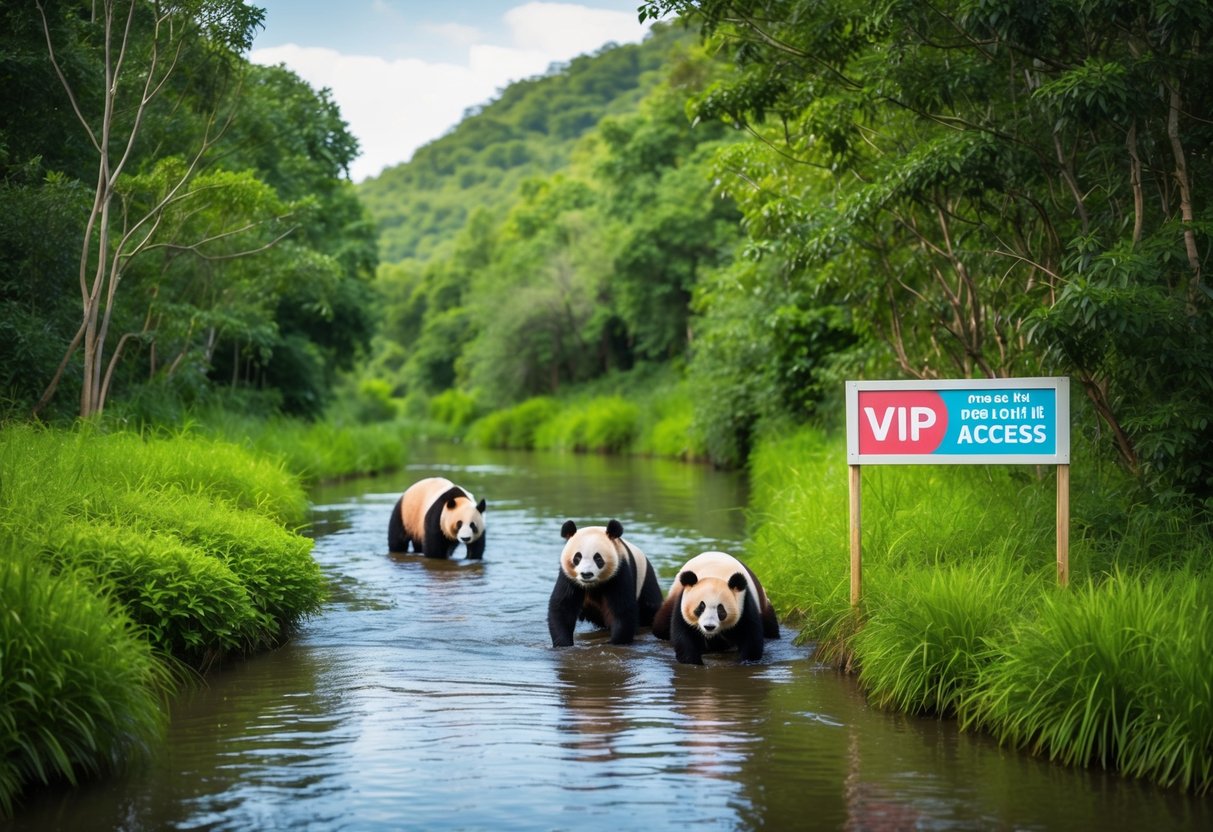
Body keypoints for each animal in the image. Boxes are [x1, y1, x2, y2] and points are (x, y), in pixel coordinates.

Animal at [547, 519, 664, 647]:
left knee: (650, 606)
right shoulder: (569, 578)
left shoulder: (619, 571)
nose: (586, 574)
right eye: (577, 557)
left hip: (645, 580)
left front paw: (616, 642)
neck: (592, 585)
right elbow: (563, 608)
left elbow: (622, 609)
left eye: (598, 558)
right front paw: (563, 643)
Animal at [651, 551, 780, 665]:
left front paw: (745, 661)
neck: (714, 575)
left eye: (721, 609)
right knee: (661, 625)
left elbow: (750, 634)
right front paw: (693, 662)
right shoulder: (682, 599)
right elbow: (683, 634)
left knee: (771, 628)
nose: (709, 627)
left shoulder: (744, 600)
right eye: (700, 607)